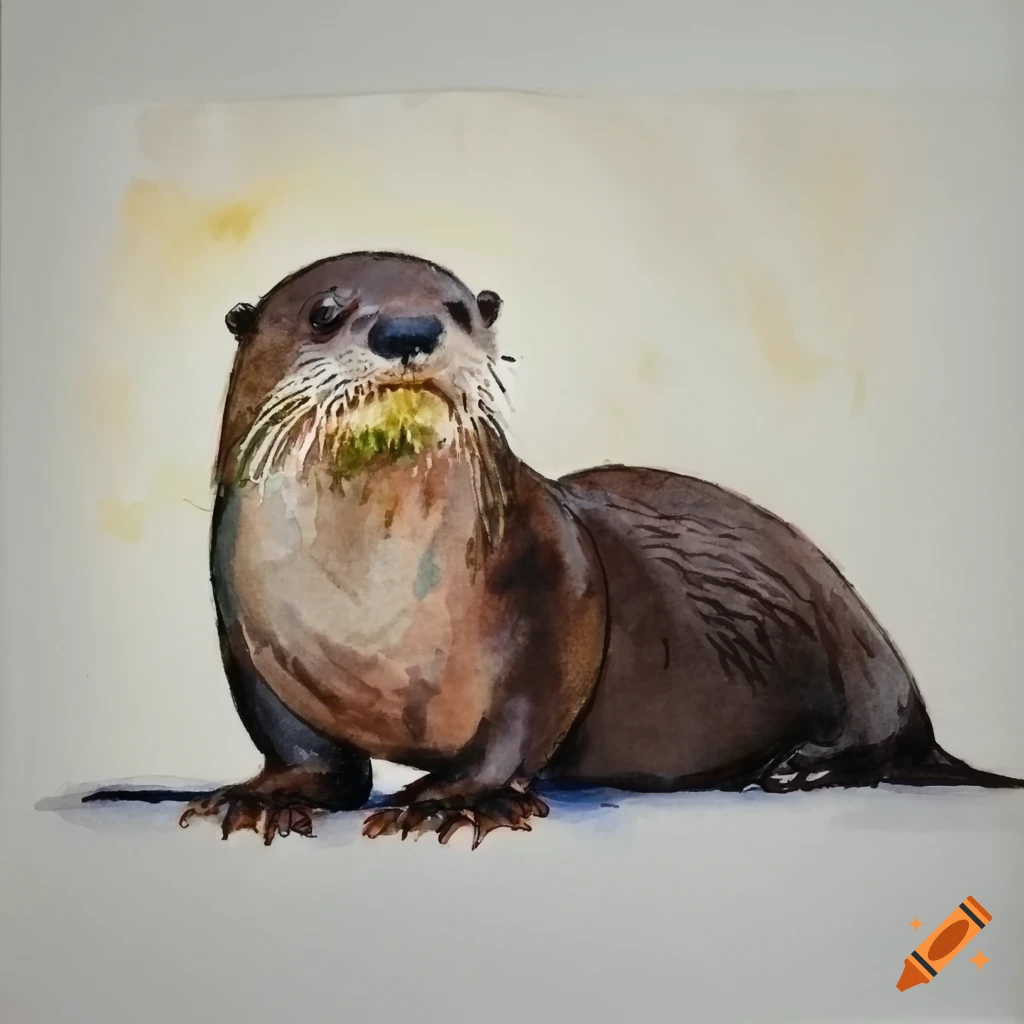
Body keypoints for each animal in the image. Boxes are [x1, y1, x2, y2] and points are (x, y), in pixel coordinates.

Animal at [179, 251, 1022, 847]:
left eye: (459, 310)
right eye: (325, 313)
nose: (409, 331)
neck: (366, 606)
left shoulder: (556, 583)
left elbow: (523, 716)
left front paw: (455, 800)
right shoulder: (240, 621)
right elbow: (299, 743)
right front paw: (266, 795)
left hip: (862, 664)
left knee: (883, 739)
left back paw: (797, 766)